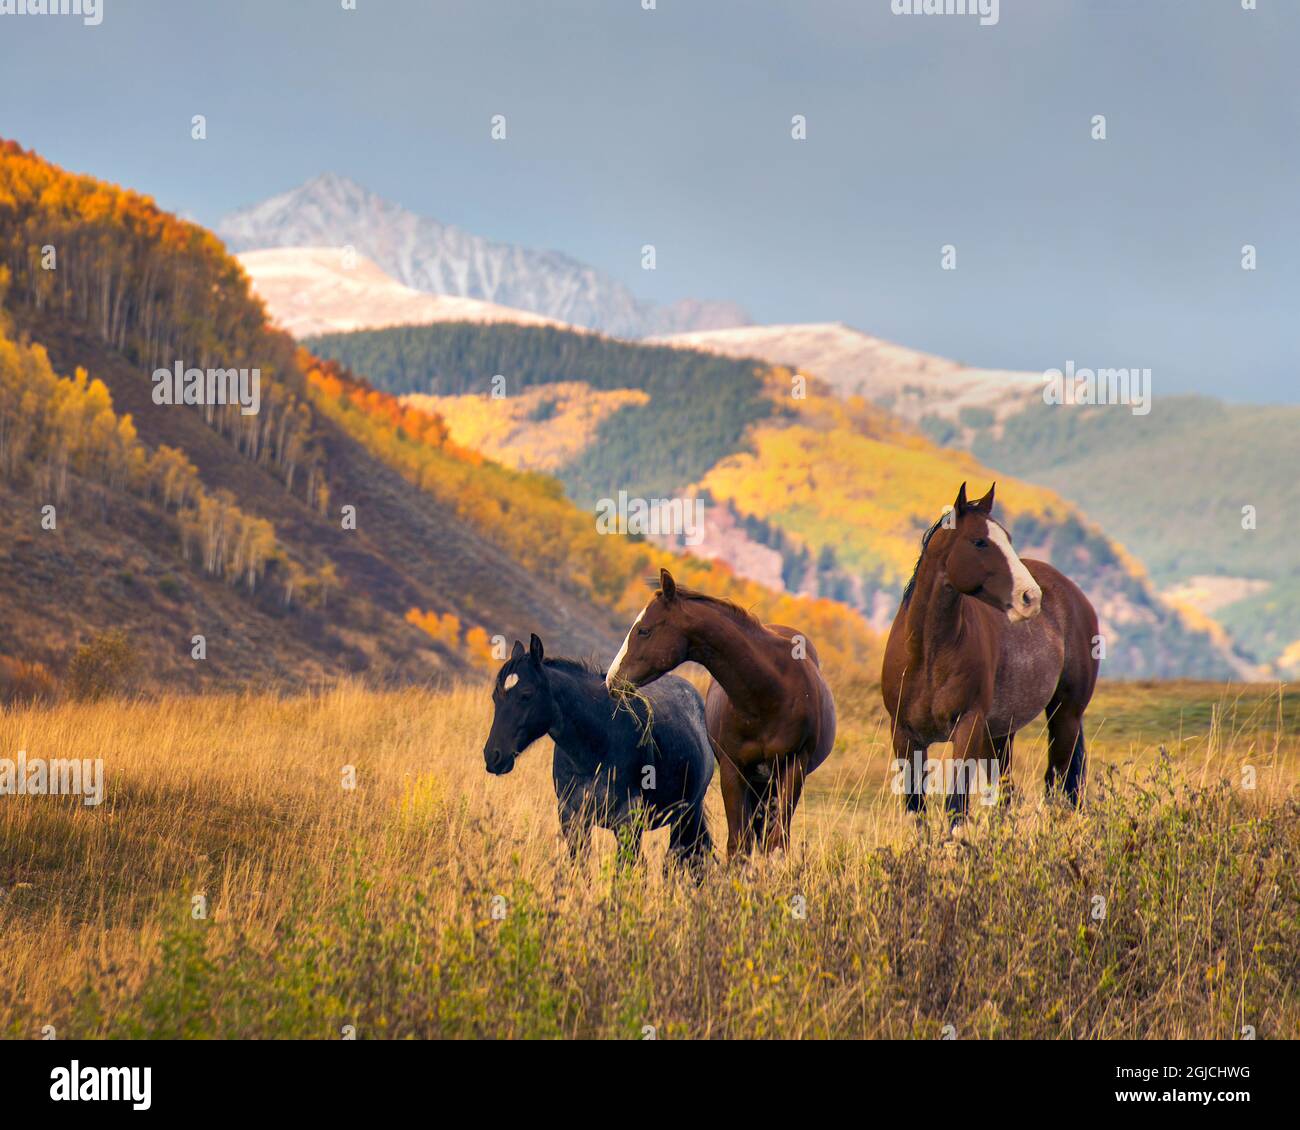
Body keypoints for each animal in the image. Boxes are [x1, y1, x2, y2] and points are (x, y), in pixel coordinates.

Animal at [483, 634, 714, 872]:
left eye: (526, 695)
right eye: (495, 696)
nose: (493, 756)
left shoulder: (627, 820)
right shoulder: (571, 818)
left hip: (686, 816)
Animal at [606, 569, 837, 859]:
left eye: (644, 630)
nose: (612, 680)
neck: (768, 695)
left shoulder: (794, 766)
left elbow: (776, 843)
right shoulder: (732, 771)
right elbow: (739, 844)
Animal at [881, 482, 1100, 817]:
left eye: (1007, 538)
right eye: (979, 542)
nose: (1030, 597)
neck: (926, 655)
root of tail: (1074, 595)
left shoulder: (967, 729)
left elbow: (956, 805)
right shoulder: (905, 736)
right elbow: (916, 807)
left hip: (1065, 716)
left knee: (1057, 783)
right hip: (1001, 735)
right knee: (1008, 792)